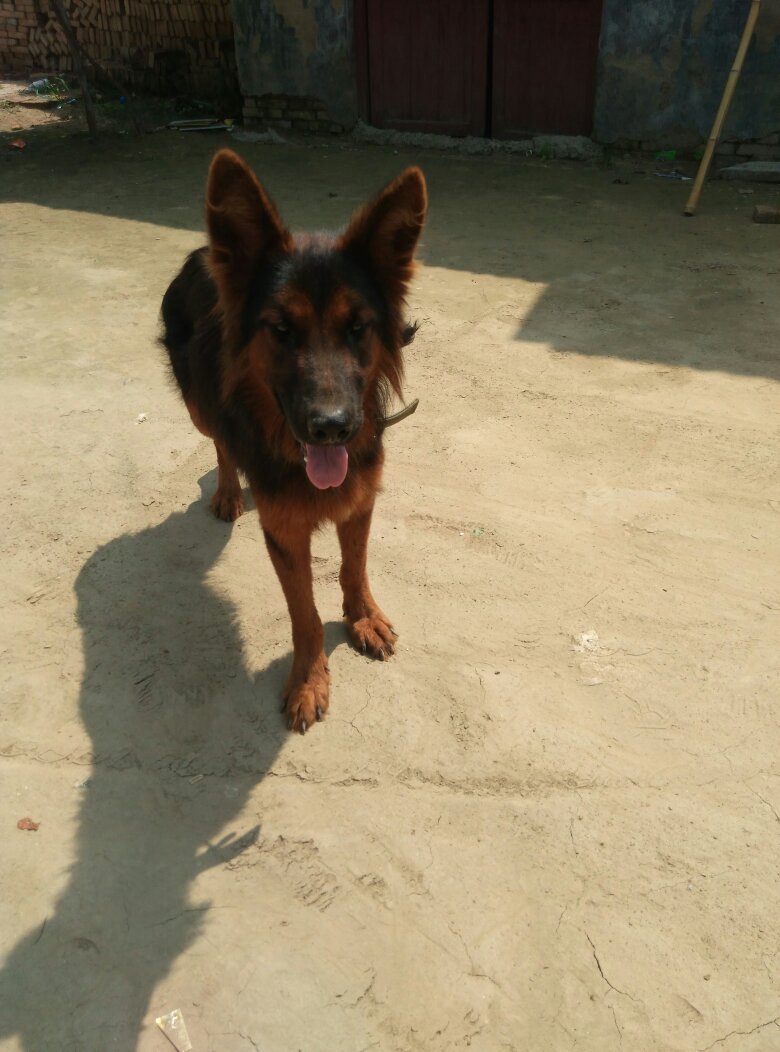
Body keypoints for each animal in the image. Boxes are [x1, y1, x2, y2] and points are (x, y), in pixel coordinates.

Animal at [160, 149, 427, 733]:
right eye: (281, 328)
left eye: (357, 328)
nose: (331, 427)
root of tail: (202, 252)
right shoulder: (284, 531)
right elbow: (304, 613)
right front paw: (309, 680)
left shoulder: (360, 501)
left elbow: (354, 567)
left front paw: (362, 617)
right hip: (198, 408)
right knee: (220, 441)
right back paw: (229, 491)